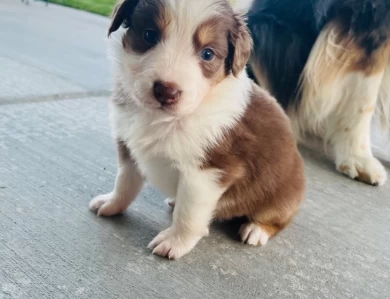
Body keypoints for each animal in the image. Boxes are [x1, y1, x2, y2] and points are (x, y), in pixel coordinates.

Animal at [90, 0, 306, 260]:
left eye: (208, 53)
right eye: (149, 35)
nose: (166, 91)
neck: (166, 119)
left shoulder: (206, 174)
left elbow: (189, 215)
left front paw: (175, 241)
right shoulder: (129, 146)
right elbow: (124, 182)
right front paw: (111, 204)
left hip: (282, 196)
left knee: (277, 220)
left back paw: (256, 230)